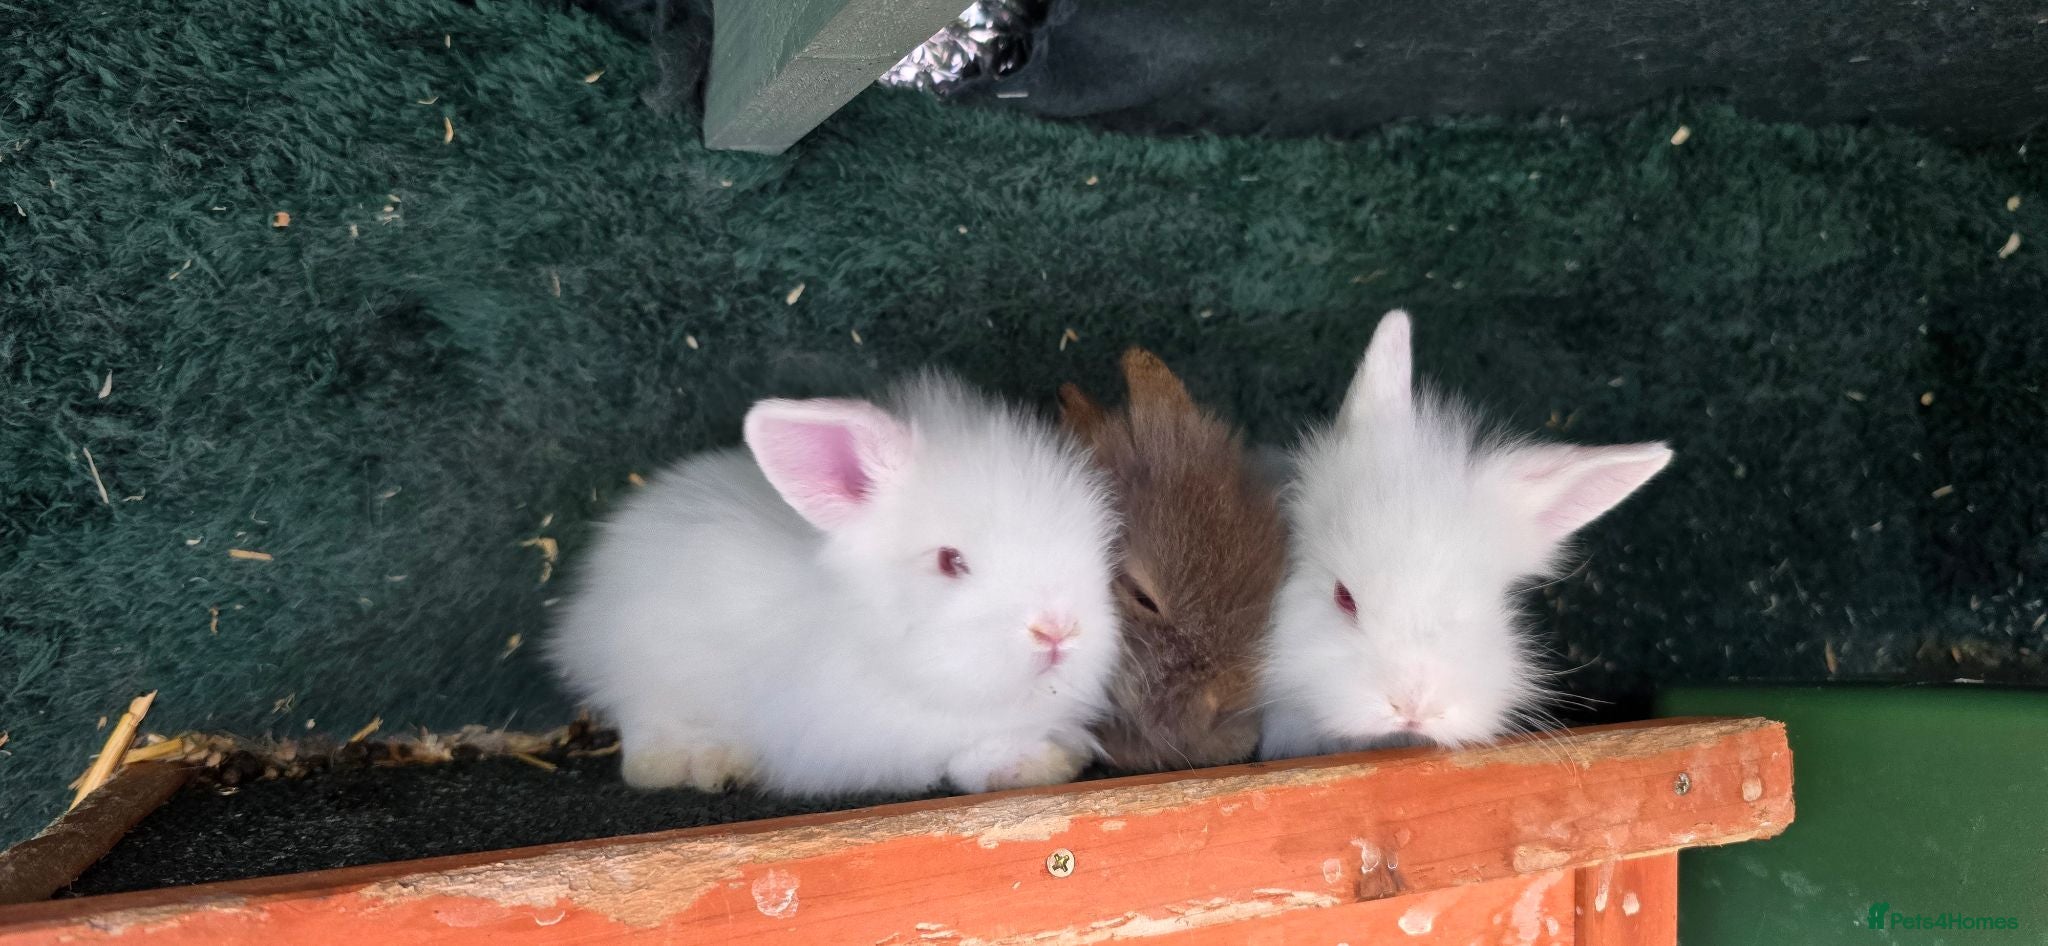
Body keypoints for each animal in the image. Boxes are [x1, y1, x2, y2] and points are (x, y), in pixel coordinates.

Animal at [549, 372, 1122, 796]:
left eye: (1096, 541)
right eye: (949, 560)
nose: (1057, 630)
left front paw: (1059, 754)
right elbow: (961, 756)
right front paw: (1036, 764)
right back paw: (703, 762)